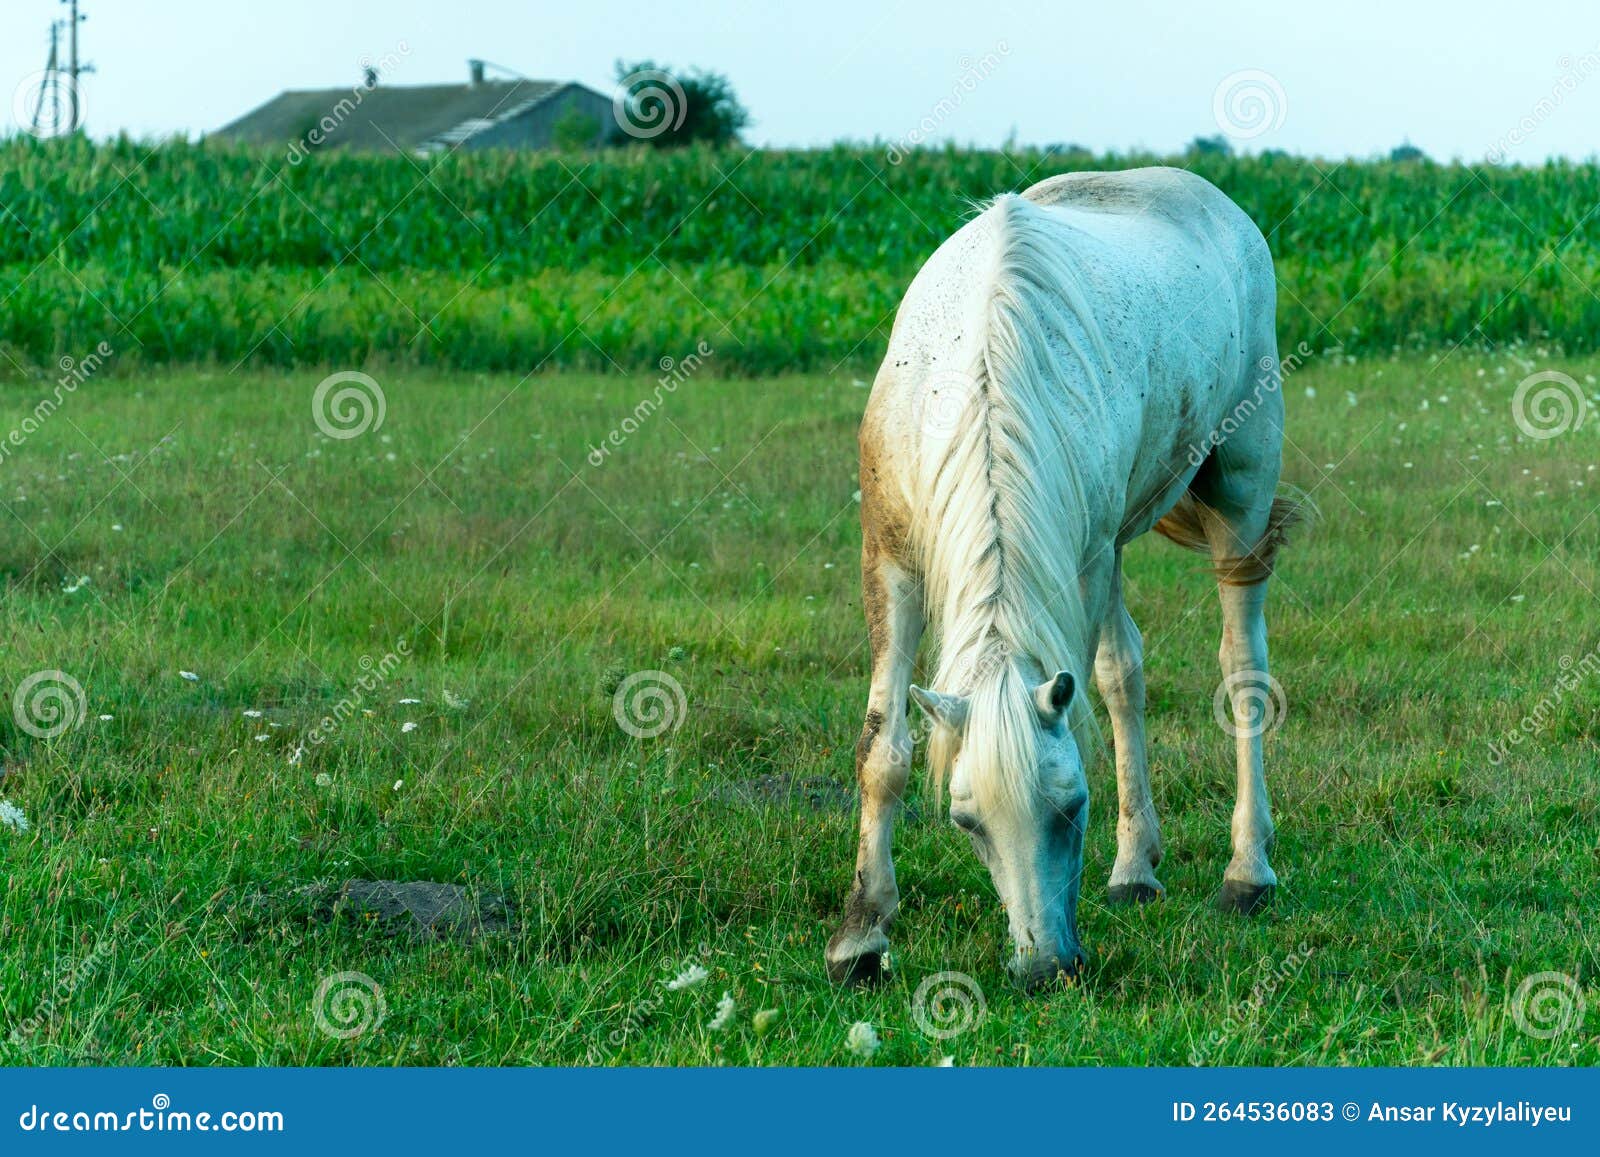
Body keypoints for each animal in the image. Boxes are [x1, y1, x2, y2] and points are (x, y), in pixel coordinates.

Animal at [832, 167, 1305, 992]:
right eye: (966, 822)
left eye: (1072, 806)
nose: (1042, 966)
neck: (981, 369)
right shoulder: (889, 560)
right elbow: (882, 746)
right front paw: (861, 936)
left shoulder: (1079, 566)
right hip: (1106, 546)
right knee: (1124, 673)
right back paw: (1135, 869)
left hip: (1239, 488)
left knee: (1242, 664)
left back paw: (1247, 871)